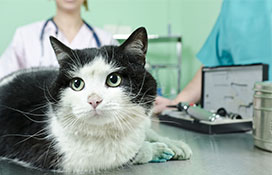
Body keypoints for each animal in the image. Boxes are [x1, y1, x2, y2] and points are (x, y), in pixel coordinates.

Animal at [0, 27, 191, 174]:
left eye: (114, 79)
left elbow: (144, 133)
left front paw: (169, 144)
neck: (109, 132)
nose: (94, 100)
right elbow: (123, 155)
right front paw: (154, 150)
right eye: (77, 83)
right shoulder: (61, 157)